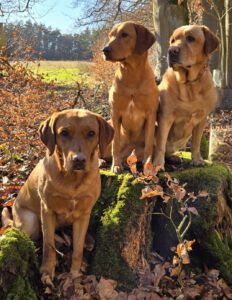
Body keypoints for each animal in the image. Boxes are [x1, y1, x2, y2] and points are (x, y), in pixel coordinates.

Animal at [1, 109, 114, 284]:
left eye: (91, 133)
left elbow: (78, 249)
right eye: (64, 133)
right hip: (30, 221)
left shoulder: (84, 213)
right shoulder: (47, 210)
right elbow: (49, 246)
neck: (72, 180)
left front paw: (74, 274)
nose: (79, 160)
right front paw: (47, 271)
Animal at [102, 20, 159, 173]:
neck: (132, 74)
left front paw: (148, 166)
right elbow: (115, 143)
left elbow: (149, 143)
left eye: (125, 35)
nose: (105, 50)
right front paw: (115, 165)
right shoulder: (115, 113)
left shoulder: (151, 114)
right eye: (110, 35)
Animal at [154, 24, 219, 169]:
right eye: (172, 40)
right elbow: (160, 143)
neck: (189, 83)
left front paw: (197, 160)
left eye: (190, 38)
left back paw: (173, 158)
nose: (171, 50)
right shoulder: (165, 117)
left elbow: (196, 143)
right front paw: (158, 164)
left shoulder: (202, 118)